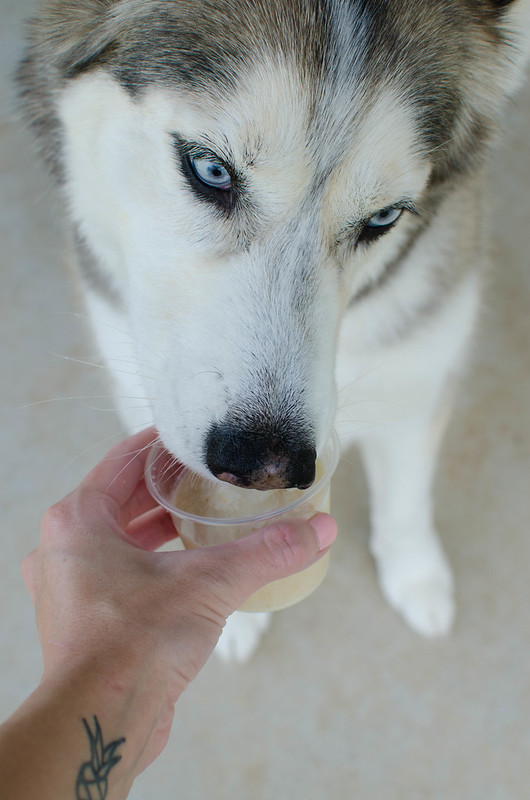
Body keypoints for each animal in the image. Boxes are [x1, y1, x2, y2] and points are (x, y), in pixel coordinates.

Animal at [17, 0, 528, 660]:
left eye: (385, 217)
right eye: (210, 169)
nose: (269, 467)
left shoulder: (421, 370)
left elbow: (407, 496)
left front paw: (415, 574)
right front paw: (231, 618)